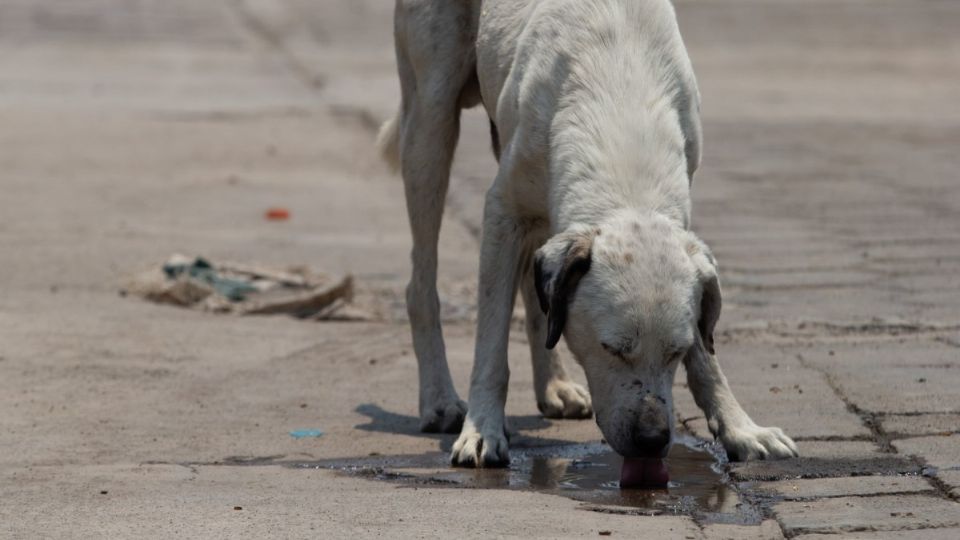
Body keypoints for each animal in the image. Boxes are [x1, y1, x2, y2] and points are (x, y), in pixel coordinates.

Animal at [378, 0, 800, 472]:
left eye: (675, 351)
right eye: (612, 348)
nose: (653, 439)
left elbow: (706, 358)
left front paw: (740, 427)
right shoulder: (502, 212)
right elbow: (490, 342)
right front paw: (482, 430)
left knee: (538, 287)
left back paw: (555, 386)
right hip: (429, 121)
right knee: (421, 279)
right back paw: (439, 400)